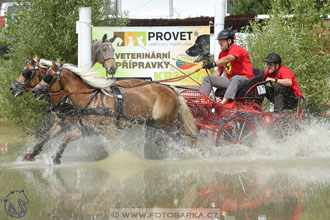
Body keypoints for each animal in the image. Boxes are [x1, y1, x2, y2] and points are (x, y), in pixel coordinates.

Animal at [31, 61, 196, 164]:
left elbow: (116, 147)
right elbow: (66, 138)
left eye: (49, 76)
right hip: (153, 125)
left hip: (165, 125)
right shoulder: (87, 129)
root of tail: (170, 88)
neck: (90, 100)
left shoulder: (109, 129)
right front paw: (55, 158)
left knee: (180, 138)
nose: (35, 90)